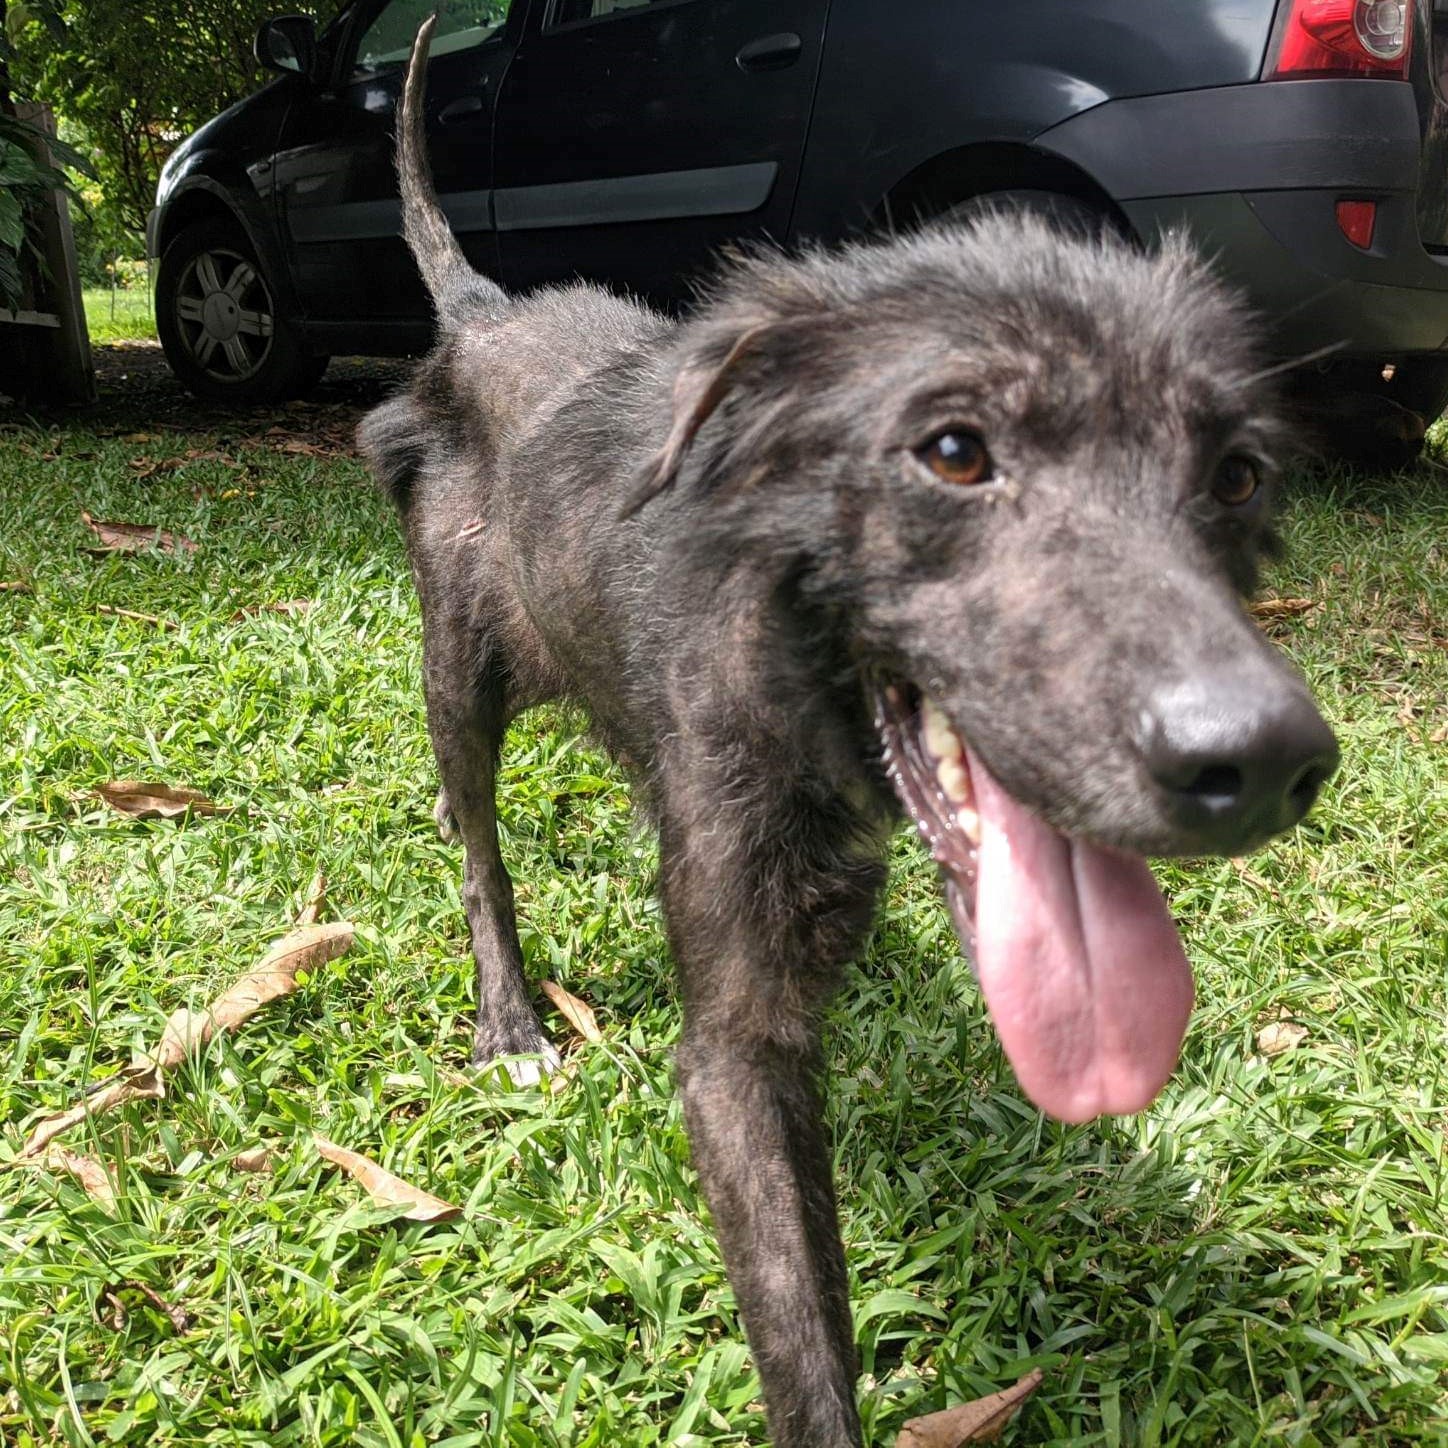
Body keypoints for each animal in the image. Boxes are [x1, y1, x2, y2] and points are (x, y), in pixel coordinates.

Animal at [359, 17, 1332, 1442]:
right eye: (951, 450)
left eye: (1237, 476)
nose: (1264, 759)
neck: (796, 688)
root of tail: (483, 314)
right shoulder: (734, 1058)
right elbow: (803, 1339)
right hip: (459, 665)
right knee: (479, 840)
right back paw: (512, 1017)